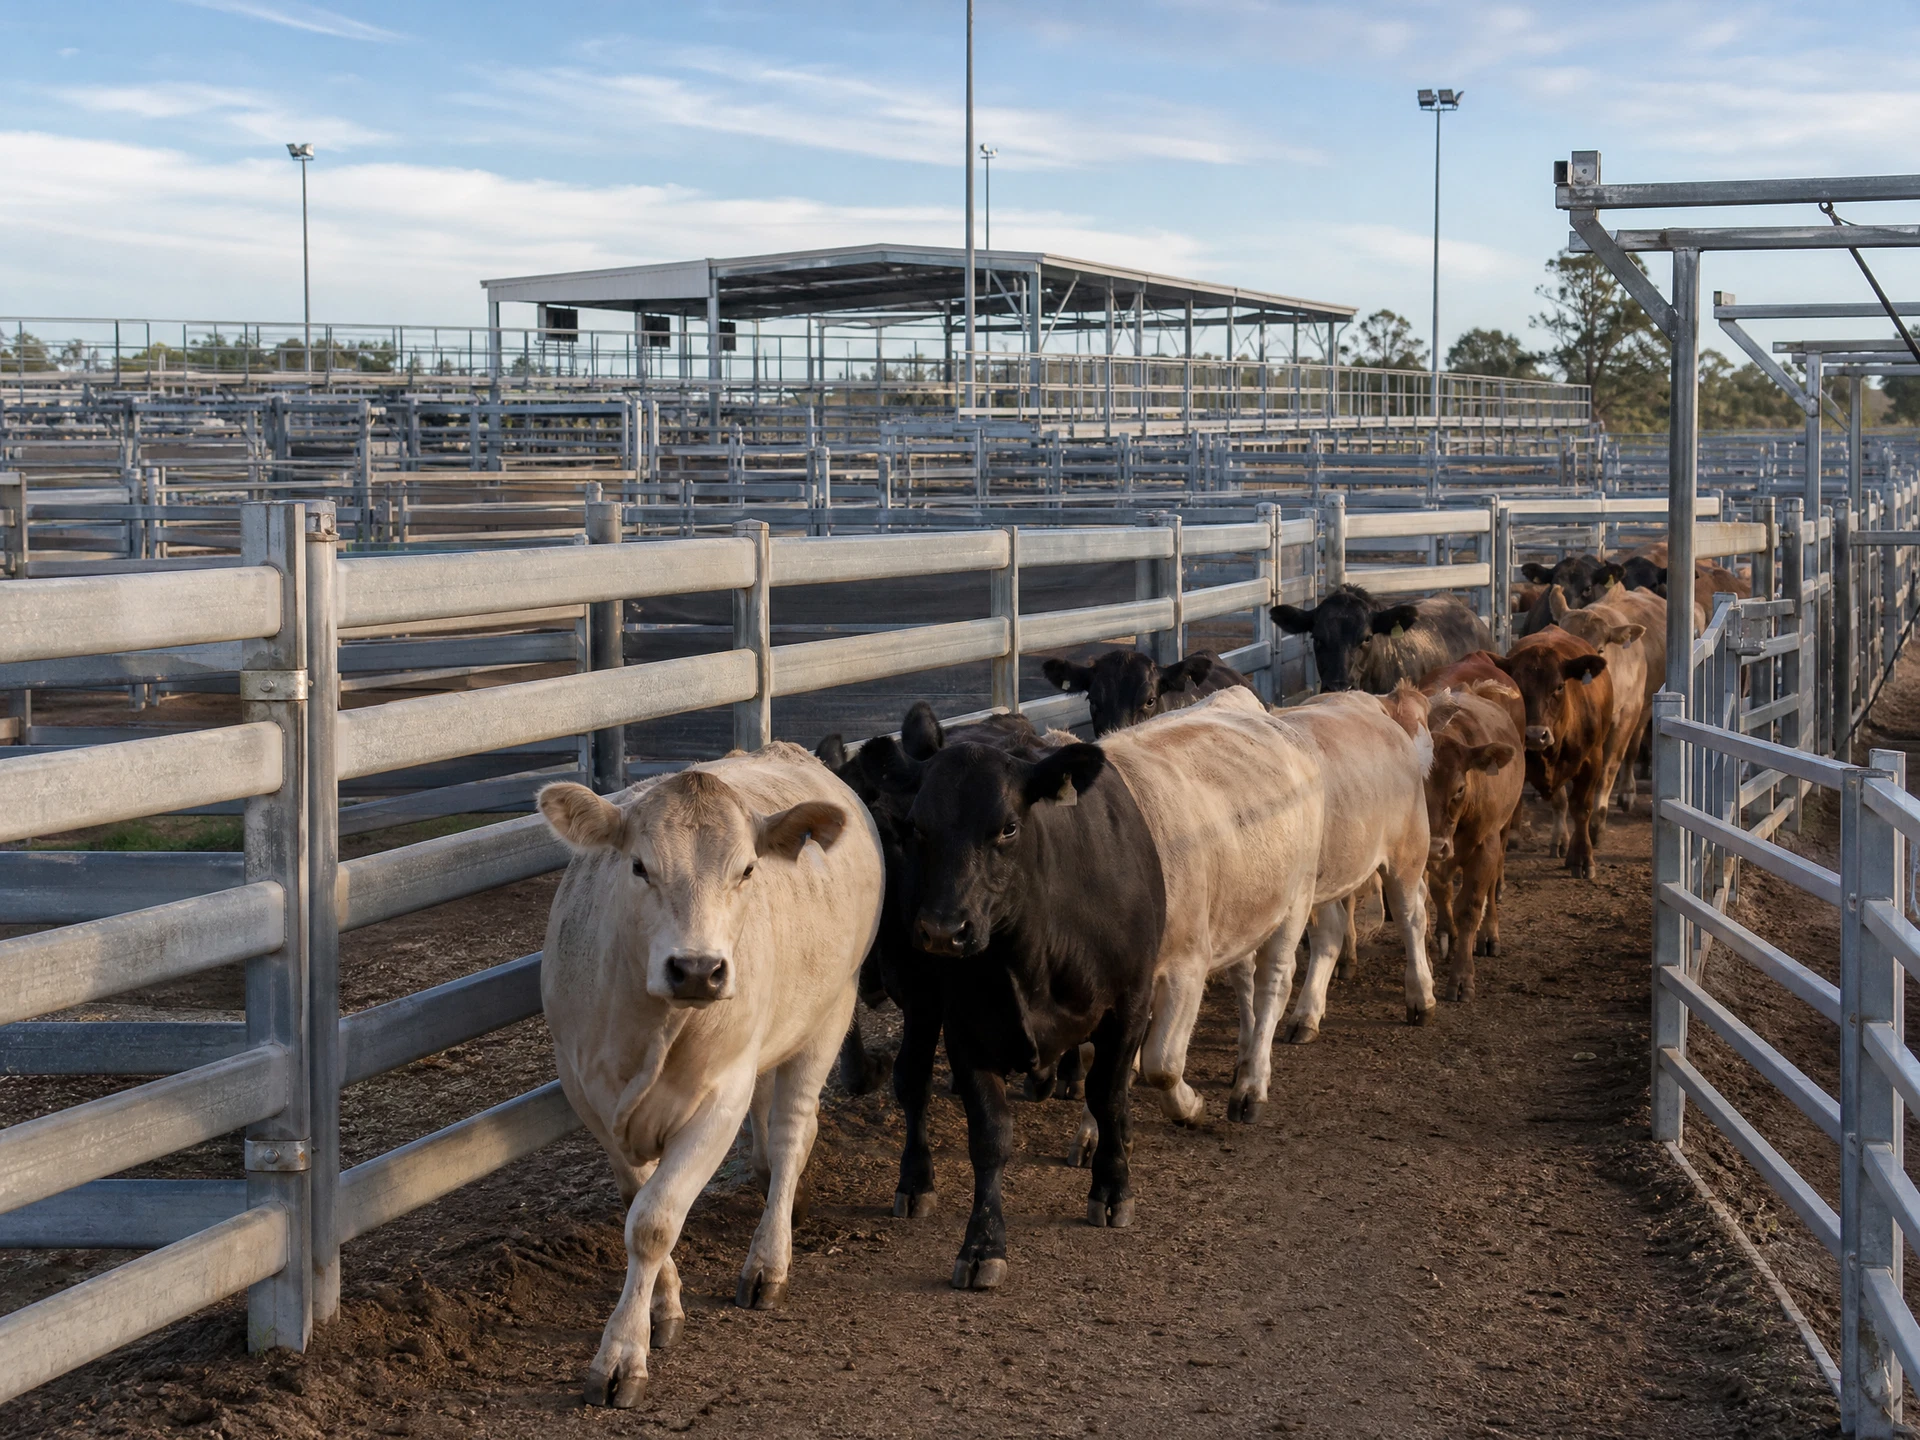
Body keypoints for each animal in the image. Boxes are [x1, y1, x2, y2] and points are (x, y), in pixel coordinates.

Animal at [535, 745, 884, 1407]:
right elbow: (637, 1199)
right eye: (639, 867)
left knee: (792, 1132)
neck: (656, 1026)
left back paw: (769, 1261)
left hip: (833, 1009)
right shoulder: (589, 1094)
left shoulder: (721, 1097)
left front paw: (622, 1354)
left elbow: (654, 1221)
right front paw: (662, 1308)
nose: (697, 969)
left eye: (747, 870)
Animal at [1421, 684, 1524, 999]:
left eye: (1459, 789)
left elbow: (1469, 908)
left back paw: (1489, 936)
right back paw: (1446, 933)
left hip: (1501, 834)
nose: (1435, 847)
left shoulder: (1484, 848)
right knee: (1442, 891)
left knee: (1490, 888)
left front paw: (1462, 978)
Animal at [1491, 627, 1613, 879]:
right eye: (1518, 686)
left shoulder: (1592, 761)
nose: (1535, 735)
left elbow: (1581, 808)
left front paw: (1582, 858)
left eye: (1558, 686)